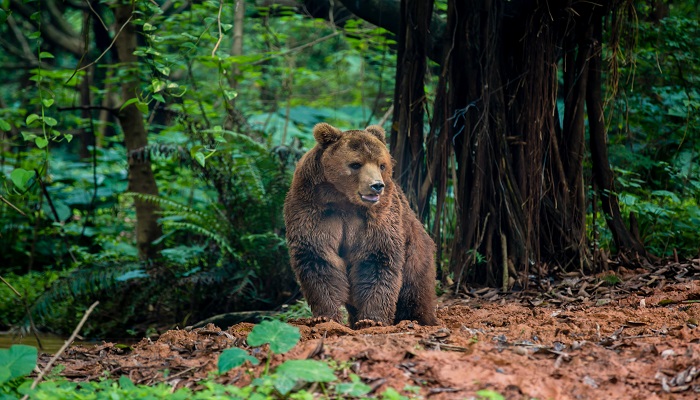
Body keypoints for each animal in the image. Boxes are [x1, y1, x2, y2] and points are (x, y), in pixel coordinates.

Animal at [283, 123, 439, 329]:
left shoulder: (378, 215)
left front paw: (371, 319)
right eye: (356, 164)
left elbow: (376, 258)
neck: (343, 199)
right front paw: (323, 317)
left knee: (414, 289)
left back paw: (417, 318)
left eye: (382, 164)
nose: (377, 185)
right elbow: (318, 258)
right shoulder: (312, 208)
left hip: (416, 251)